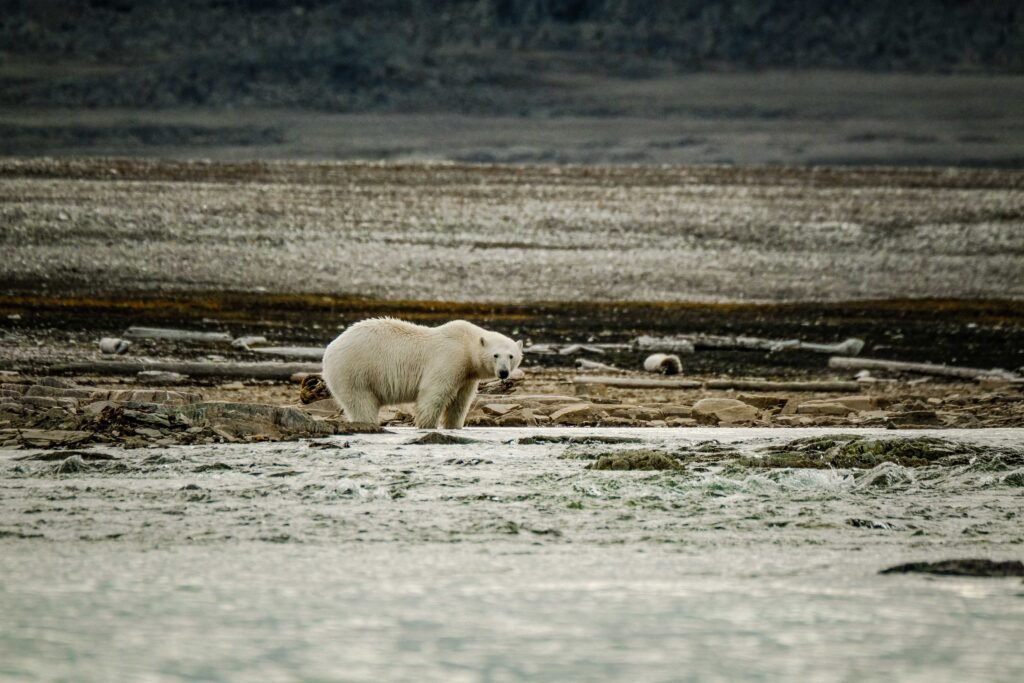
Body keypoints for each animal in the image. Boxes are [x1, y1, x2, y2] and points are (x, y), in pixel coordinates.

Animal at [319, 319, 524, 428]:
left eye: (511, 356)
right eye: (495, 355)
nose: (503, 372)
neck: (466, 344)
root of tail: (330, 348)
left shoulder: (466, 375)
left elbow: (459, 402)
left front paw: (454, 425)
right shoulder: (449, 358)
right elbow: (433, 394)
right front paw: (427, 425)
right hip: (354, 370)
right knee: (361, 401)